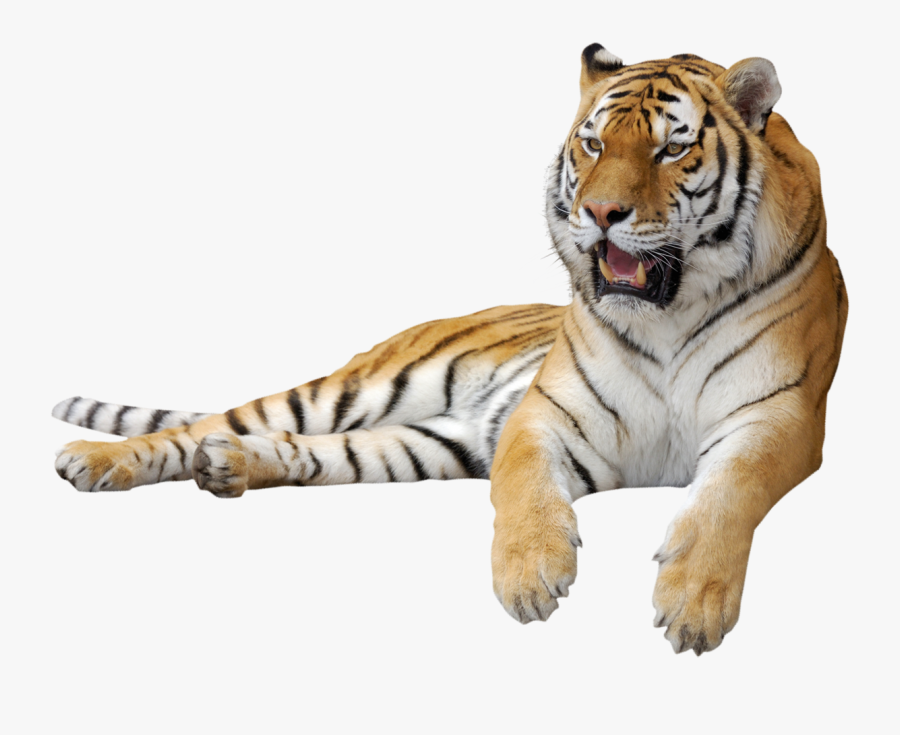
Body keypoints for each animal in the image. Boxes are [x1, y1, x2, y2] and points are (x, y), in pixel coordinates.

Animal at [52, 45, 847, 655]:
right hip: (357, 388)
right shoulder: (544, 413)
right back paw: (93, 460)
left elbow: (726, 495)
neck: (669, 314)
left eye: (672, 147)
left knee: (302, 450)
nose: (599, 213)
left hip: (428, 440)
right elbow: (523, 487)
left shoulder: (779, 417)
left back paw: (229, 467)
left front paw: (693, 603)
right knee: (209, 423)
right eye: (594, 143)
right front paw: (530, 574)